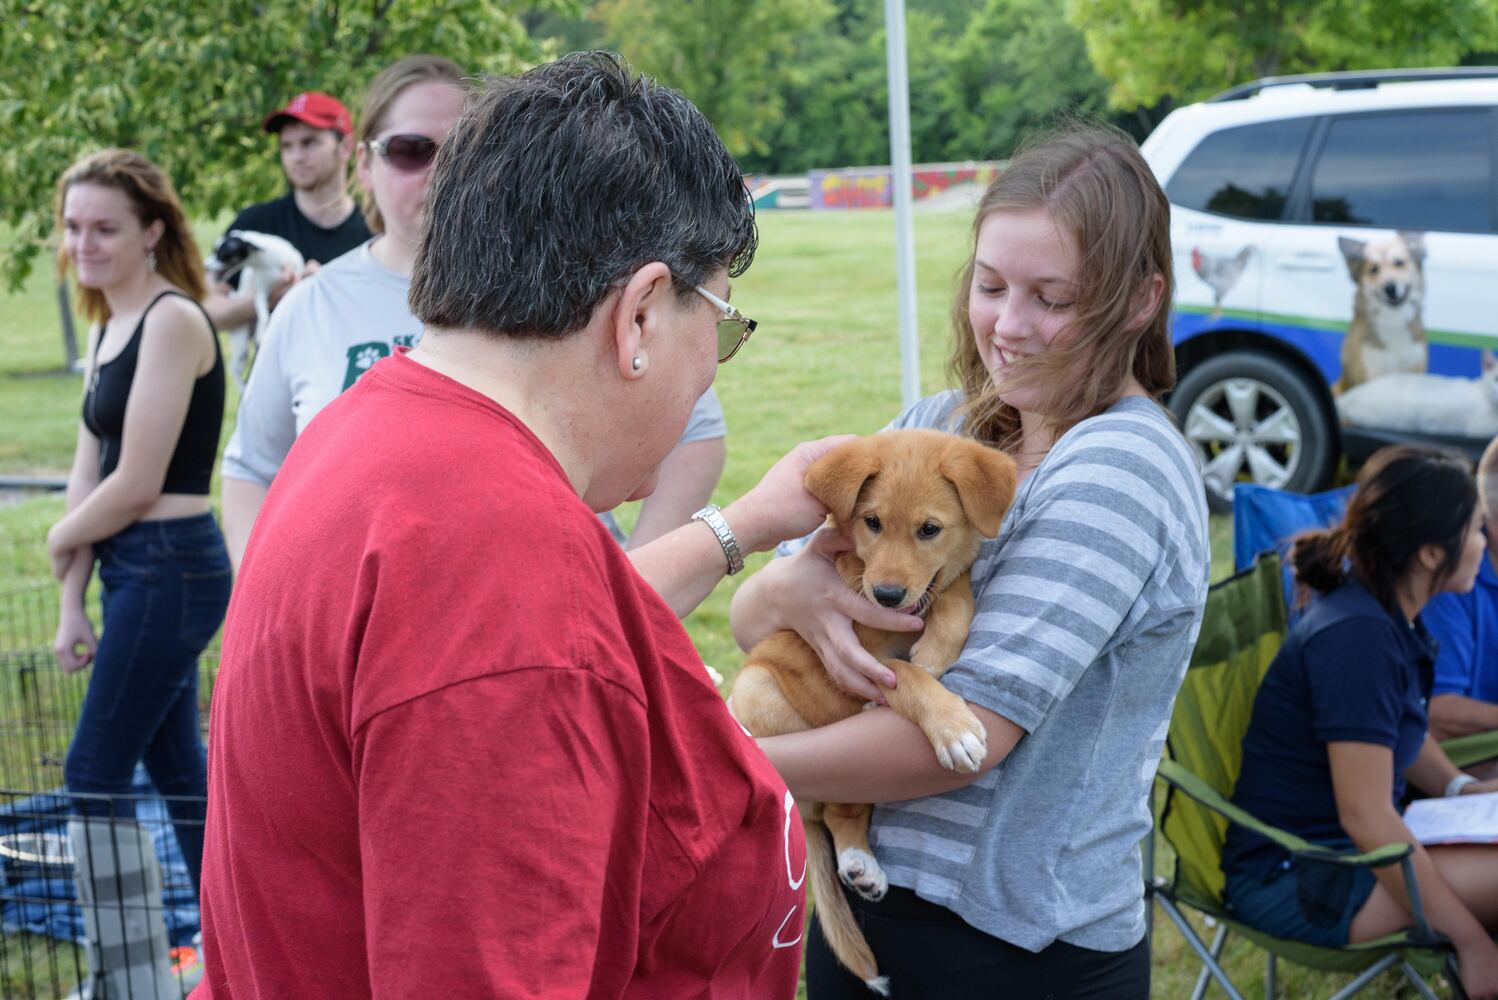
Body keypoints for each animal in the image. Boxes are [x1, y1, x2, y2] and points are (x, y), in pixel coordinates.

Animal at [728, 431, 1018, 994]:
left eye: (929, 529)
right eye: (872, 522)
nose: (886, 595)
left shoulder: (945, 585)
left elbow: (955, 598)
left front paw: (937, 648)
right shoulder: (854, 661)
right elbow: (905, 676)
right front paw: (952, 727)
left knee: (842, 811)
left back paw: (861, 866)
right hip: (759, 689)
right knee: (824, 807)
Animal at [1336, 232, 1426, 392]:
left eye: (1399, 263)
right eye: (1373, 269)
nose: (1390, 288)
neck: (1393, 322)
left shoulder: (1415, 368)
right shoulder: (1371, 373)